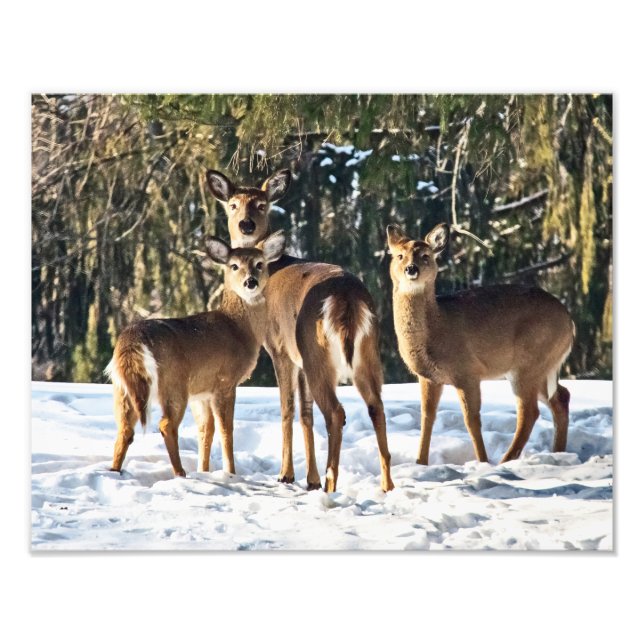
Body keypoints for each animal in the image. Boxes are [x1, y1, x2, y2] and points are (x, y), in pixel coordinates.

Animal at [105, 231, 286, 477]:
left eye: (260, 264)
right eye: (234, 265)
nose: (251, 282)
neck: (238, 329)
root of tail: (133, 341)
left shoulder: (202, 392)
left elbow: (206, 430)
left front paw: (204, 470)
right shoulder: (224, 381)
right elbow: (225, 430)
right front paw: (230, 473)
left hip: (122, 387)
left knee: (124, 429)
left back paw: (114, 470)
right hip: (173, 383)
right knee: (166, 425)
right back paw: (180, 472)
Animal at [205, 168, 395, 493]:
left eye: (261, 204)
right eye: (233, 204)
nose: (246, 224)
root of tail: (347, 298)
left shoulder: (280, 348)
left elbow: (288, 409)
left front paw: (287, 475)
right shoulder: (299, 357)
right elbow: (306, 415)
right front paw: (311, 479)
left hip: (318, 351)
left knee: (336, 412)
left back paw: (332, 483)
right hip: (365, 352)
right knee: (376, 407)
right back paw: (386, 485)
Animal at [386, 223, 575, 465]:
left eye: (425, 256)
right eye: (400, 255)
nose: (411, 269)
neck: (437, 327)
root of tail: (569, 322)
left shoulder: (467, 372)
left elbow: (472, 420)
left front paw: (482, 461)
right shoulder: (429, 377)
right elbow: (427, 418)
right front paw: (420, 463)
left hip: (530, 360)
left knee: (529, 411)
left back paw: (505, 461)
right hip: (542, 367)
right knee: (560, 397)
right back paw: (557, 452)